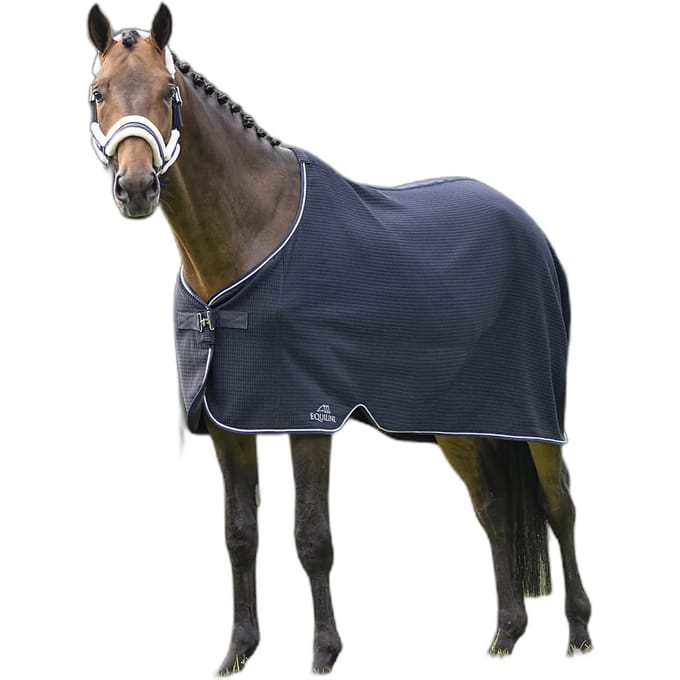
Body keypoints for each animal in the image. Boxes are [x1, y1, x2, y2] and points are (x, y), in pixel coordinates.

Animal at [87, 4, 592, 674]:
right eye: (97, 93)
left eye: (169, 93)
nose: (137, 188)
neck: (249, 238)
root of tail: (530, 229)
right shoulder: (227, 422)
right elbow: (239, 534)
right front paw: (238, 652)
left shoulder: (310, 414)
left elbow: (312, 538)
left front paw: (324, 653)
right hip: (459, 421)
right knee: (493, 508)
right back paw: (505, 636)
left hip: (533, 416)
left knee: (559, 504)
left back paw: (579, 632)